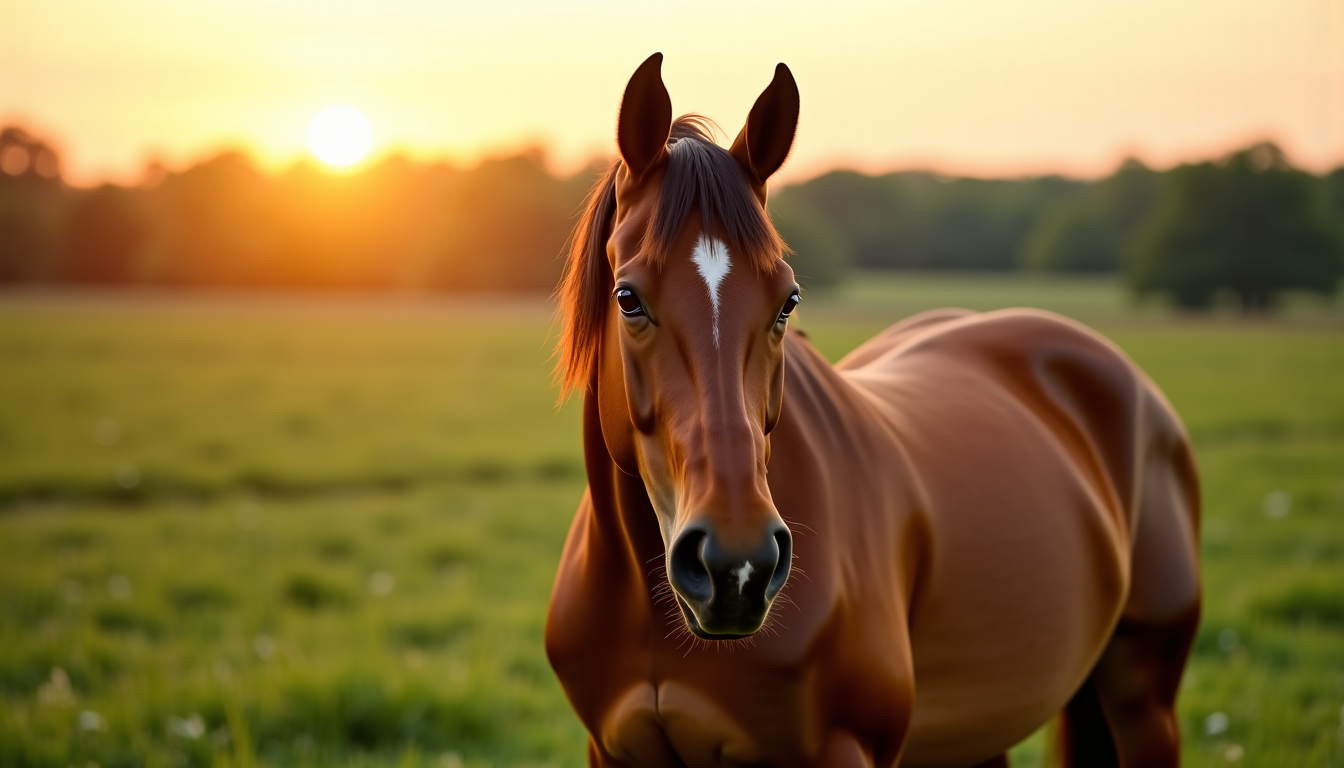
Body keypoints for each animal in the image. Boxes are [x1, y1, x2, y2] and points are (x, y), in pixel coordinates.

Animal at [545, 53, 1201, 768]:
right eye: (628, 298)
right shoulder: (612, 751)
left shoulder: (845, 746)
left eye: (788, 301)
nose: (737, 565)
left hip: (1143, 701)